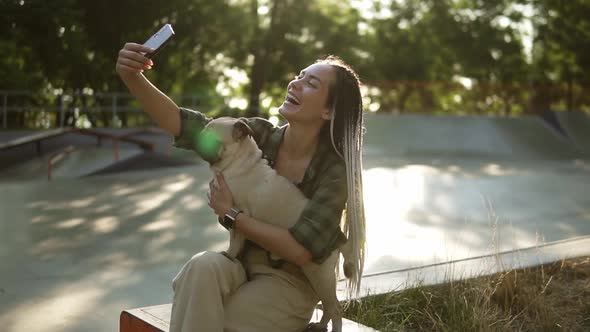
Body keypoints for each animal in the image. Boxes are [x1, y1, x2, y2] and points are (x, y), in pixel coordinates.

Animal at [201, 117, 354, 332]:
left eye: (212, 139)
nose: (198, 137)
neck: (239, 161)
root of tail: (337, 238)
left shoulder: (238, 213)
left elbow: (235, 240)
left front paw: (229, 255)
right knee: (327, 306)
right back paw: (320, 325)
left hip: (320, 275)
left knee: (335, 308)